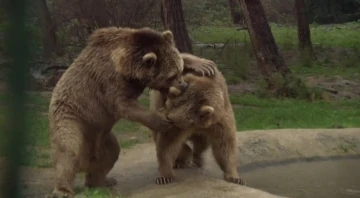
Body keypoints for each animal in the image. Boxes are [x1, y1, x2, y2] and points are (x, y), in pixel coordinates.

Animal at [47, 26, 217, 198]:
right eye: (171, 76)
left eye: (180, 70)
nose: (183, 85)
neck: (126, 68)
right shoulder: (108, 82)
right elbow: (126, 106)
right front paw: (161, 120)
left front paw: (204, 64)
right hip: (73, 116)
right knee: (68, 150)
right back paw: (63, 190)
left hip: (103, 135)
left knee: (111, 153)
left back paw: (102, 181)